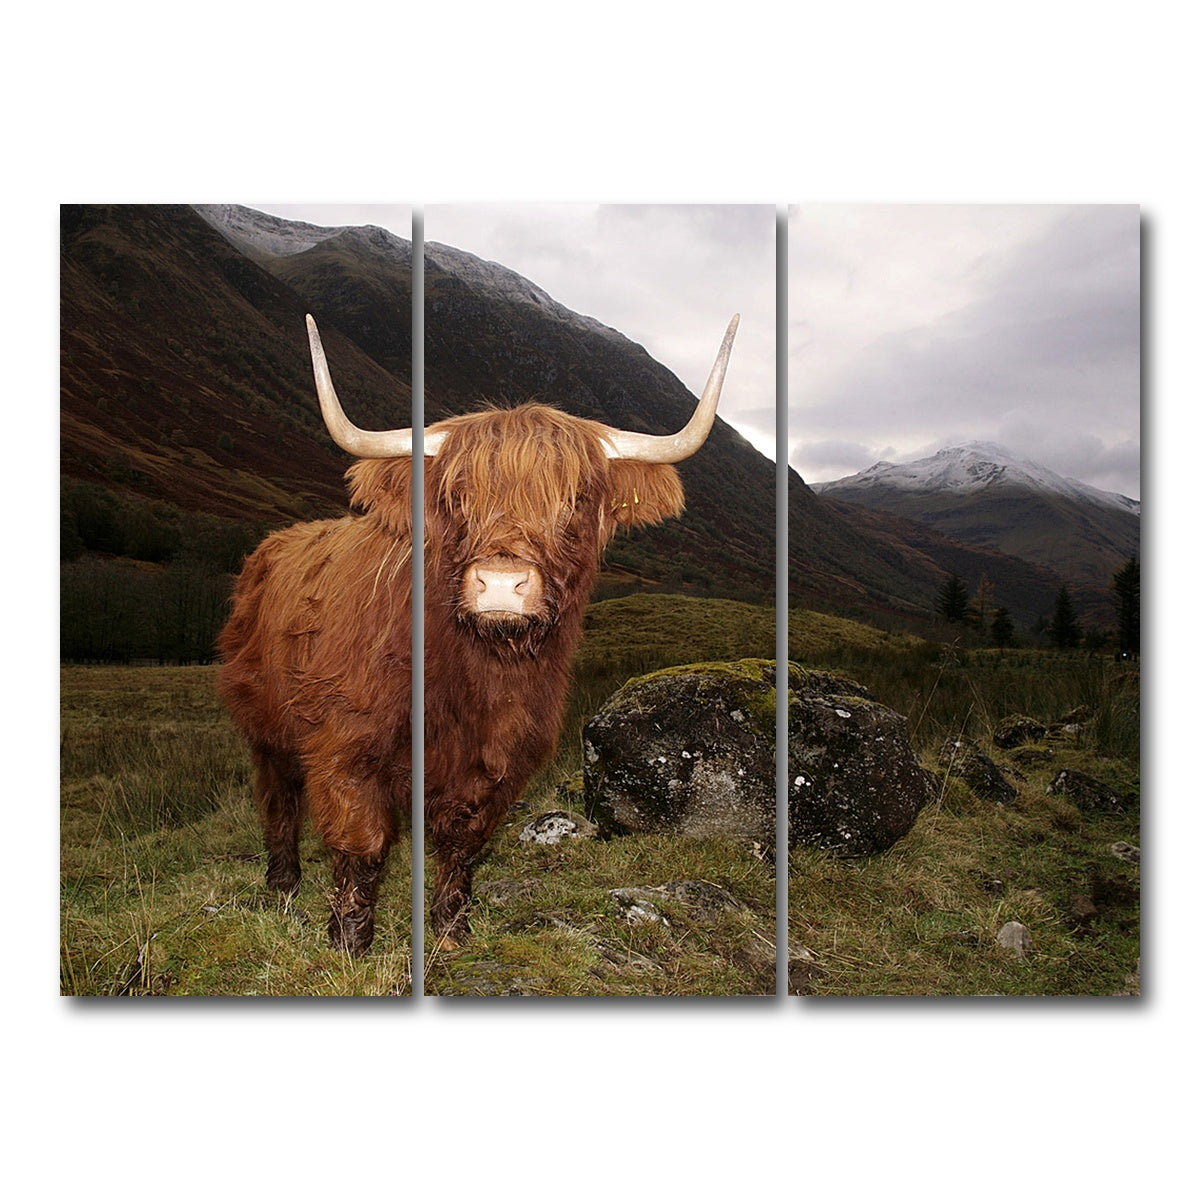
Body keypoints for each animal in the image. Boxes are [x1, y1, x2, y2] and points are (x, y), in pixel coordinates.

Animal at [217, 312, 739, 954]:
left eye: (575, 499)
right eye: (456, 495)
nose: (501, 583)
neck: (475, 678)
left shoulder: (501, 759)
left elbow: (463, 843)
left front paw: (450, 931)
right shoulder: (345, 744)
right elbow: (360, 845)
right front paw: (348, 942)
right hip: (265, 725)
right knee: (278, 799)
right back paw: (283, 882)